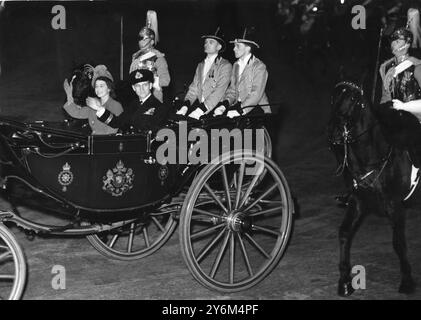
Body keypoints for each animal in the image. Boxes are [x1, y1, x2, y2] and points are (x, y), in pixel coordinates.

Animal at [328, 81, 416, 296]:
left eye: (352, 99)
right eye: (333, 98)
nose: (333, 133)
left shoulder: (394, 205)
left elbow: (398, 242)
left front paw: (407, 281)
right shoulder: (358, 201)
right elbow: (344, 233)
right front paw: (345, 282)